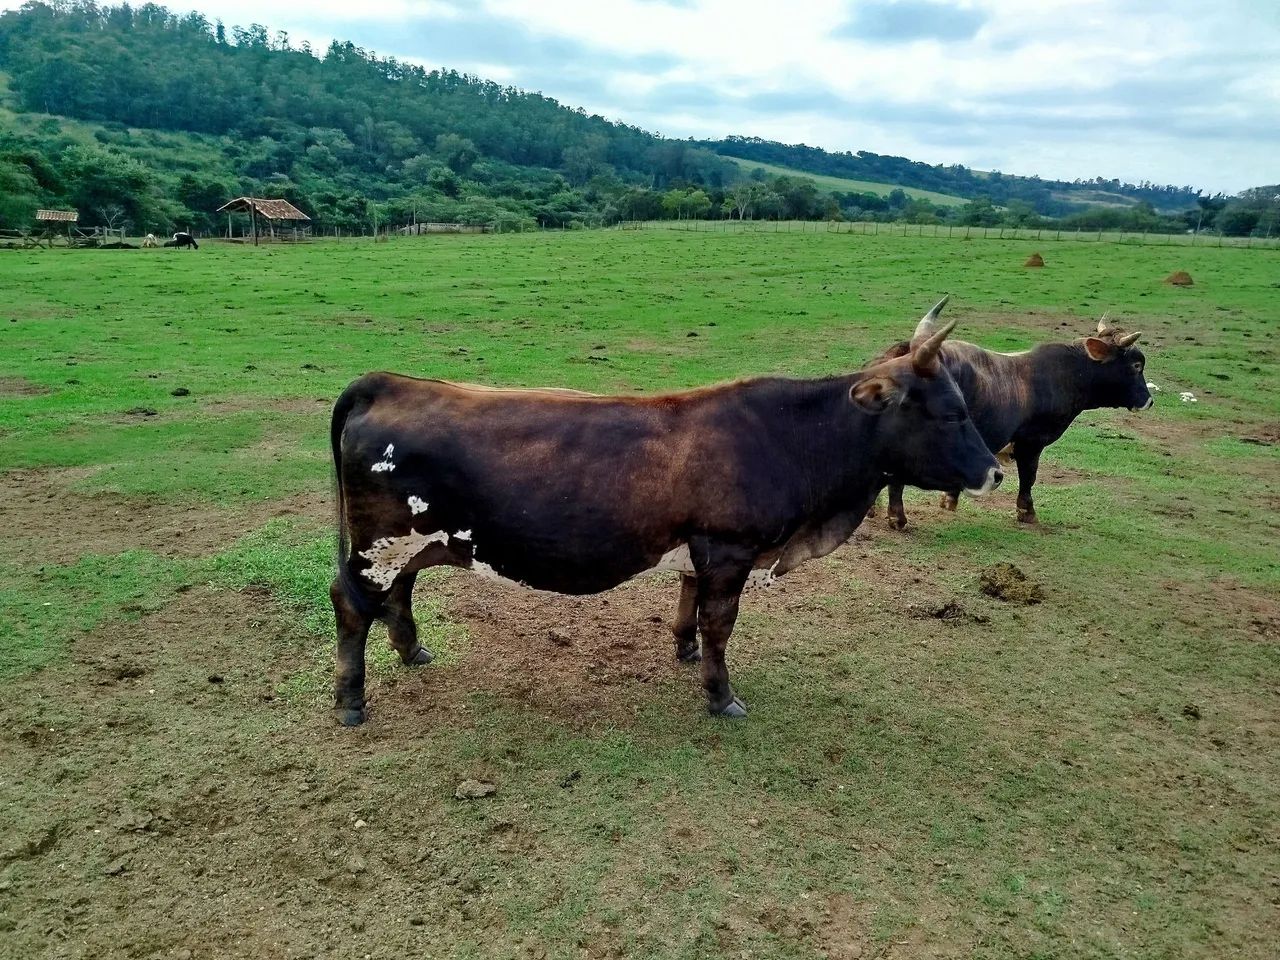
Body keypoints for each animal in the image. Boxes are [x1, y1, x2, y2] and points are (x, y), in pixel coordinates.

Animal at [328, 311, 1003, 727]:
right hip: (377, 539)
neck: (789, 437)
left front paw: (683, 650)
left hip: (409, 540)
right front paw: (721, 694)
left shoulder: (699, 548)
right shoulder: (729, 549)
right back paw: (351, 701)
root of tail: (388, 382)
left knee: (399, 592)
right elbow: (720, 624)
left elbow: (689, 604)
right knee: (352, 604)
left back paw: (412, 651)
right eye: (949, 413)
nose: (995, 472)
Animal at [871, 298, 1153, 528]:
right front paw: (1027, 512)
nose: (1149, 401)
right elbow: (1029, 475)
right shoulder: (1032, 442)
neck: (1068, 375)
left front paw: (949, 500)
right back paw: (897, 517)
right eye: (1136, 365)